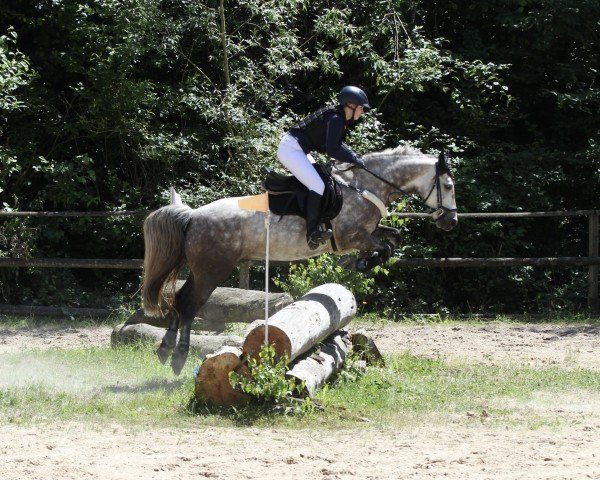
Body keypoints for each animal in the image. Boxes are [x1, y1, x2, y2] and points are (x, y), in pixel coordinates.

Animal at [143, 144, 458, 374]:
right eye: (449, 186)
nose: (451, 222)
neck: (365, 186)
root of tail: (194, 215)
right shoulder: (351, 236)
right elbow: (385, 248)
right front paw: (363, 262)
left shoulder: (368, 232)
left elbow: (394, 239)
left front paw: (363, 262)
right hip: (213, 270)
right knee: (190, 303)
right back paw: (178, 357)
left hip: (203, 269)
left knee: (180, 298)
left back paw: (164, 349)